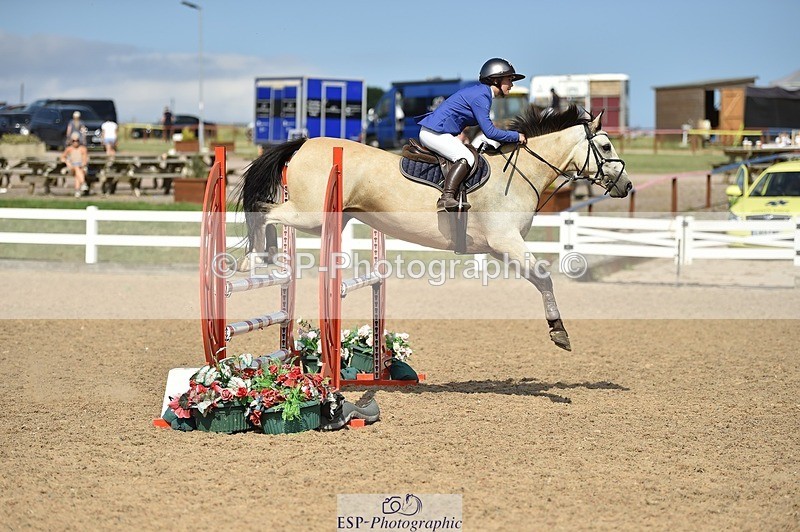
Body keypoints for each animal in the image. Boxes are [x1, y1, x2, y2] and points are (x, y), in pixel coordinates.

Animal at [237, 105, 631, 352]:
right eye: (605, 145)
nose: (627, 186)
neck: (520, 174)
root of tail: (304, 143)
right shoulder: (506, 242)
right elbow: (545, 279)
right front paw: (560, 333)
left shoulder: (500, 249)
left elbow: (538, 279)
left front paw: (557, 331)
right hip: (312, 217)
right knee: (264, 211)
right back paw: (253, 259)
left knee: (268, 214)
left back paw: (266, 256)